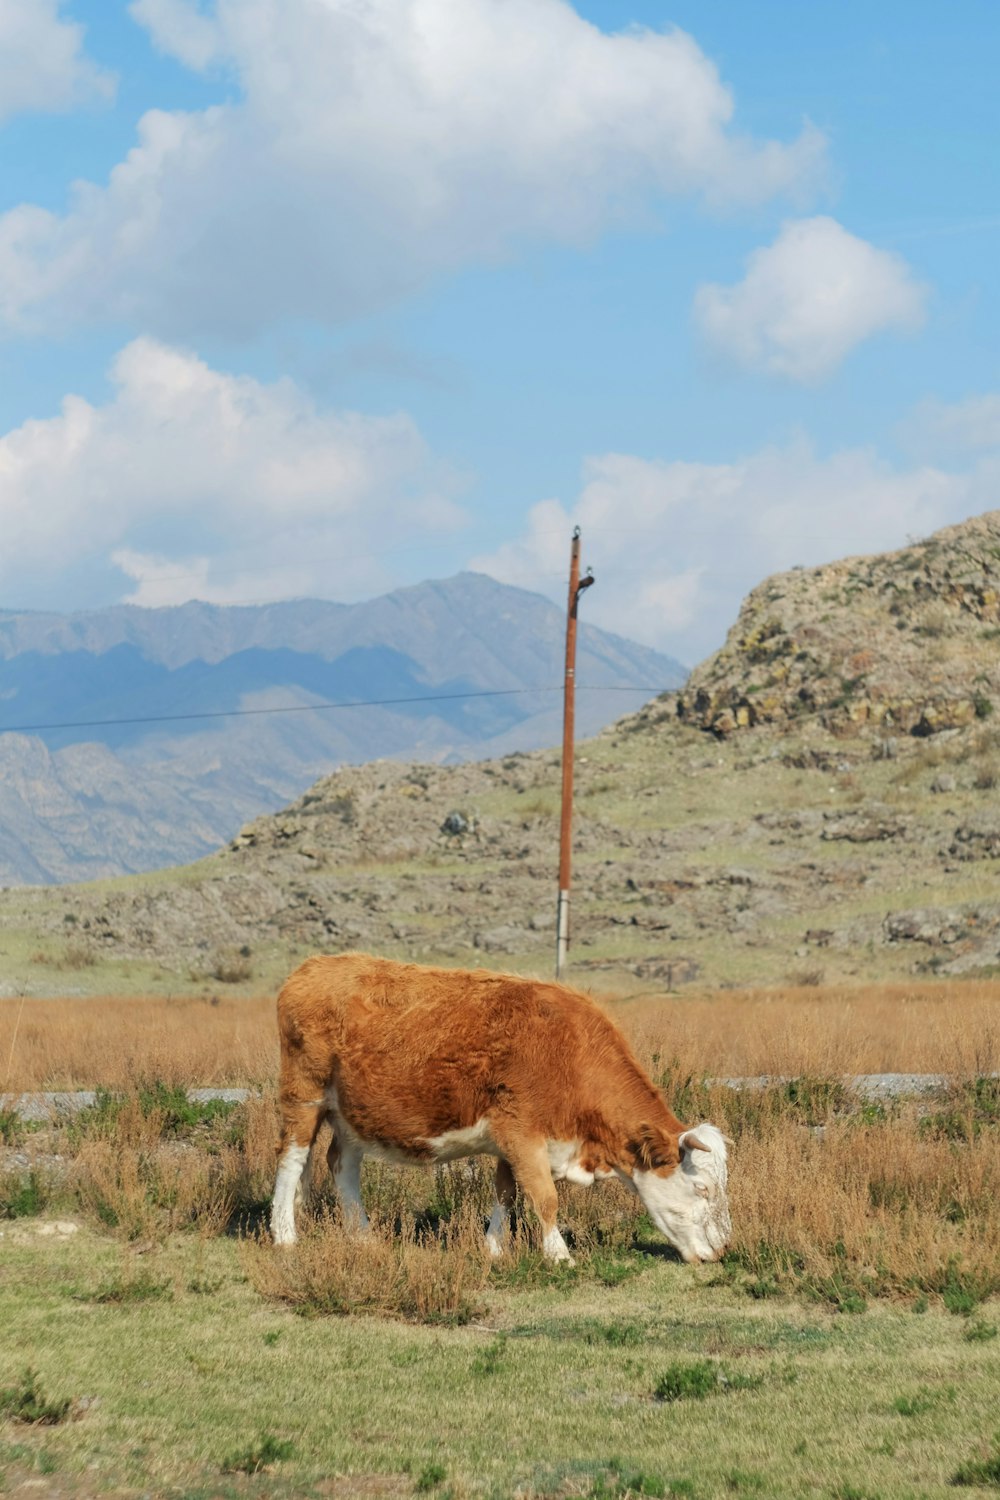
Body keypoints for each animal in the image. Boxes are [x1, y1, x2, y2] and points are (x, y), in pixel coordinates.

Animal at [269, 954, 731, 1260]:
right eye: (703, 1189)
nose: (723, 1249)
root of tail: (314, 965)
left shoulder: (514, 1139)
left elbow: (506, 1192)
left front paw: (493, 1248)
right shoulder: (522, 1134)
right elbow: (544, 1197)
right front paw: (559, 1256)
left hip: (352, 1114)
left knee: (342, 1164)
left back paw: (362, 1236)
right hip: (304, 1094)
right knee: (292, 1159)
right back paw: (284, 1234)